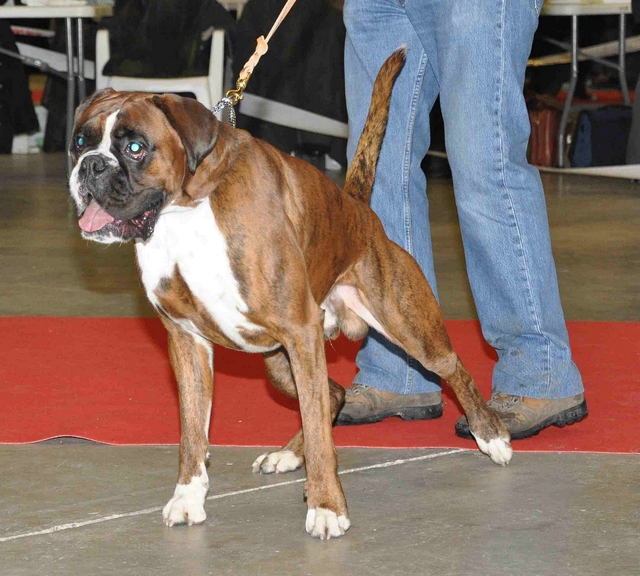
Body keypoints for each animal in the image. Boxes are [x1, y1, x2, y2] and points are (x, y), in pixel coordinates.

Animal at [69, 49, 510, 540]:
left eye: (135, 148)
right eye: (80, 142)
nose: (90, 166)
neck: (185, 213)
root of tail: (357, 208)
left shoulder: (300, 332)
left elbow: (319, 432)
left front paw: (326, 507)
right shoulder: (188, 343)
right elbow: (192, 432)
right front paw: (188, 498)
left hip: (403, 327)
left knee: (452, 368)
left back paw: (490, 434)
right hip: (281, 363)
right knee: (334, 395)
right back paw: (287, 454)